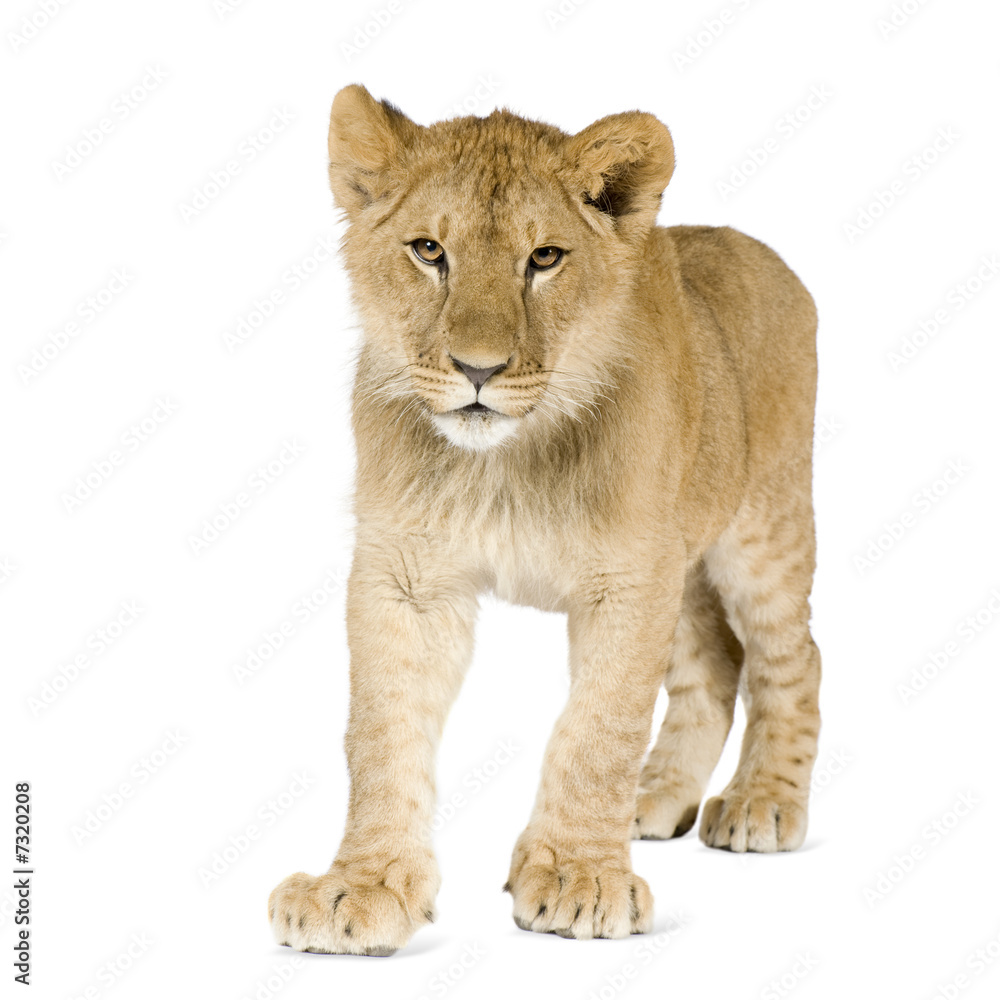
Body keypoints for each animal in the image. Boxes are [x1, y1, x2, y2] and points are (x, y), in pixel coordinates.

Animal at [267, 84, 821, 954]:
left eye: (546, 259)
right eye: (429, 250)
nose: (478, 369)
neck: (504, 464)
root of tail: (758, 248)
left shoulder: (629, 577)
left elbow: (599, 727)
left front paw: (578, 878)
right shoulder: (406, 577)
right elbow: (381, 731)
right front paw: (361, 887)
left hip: (763, 528)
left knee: (790, 657)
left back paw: (760, 801)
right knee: (715, 664)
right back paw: (653, 798)